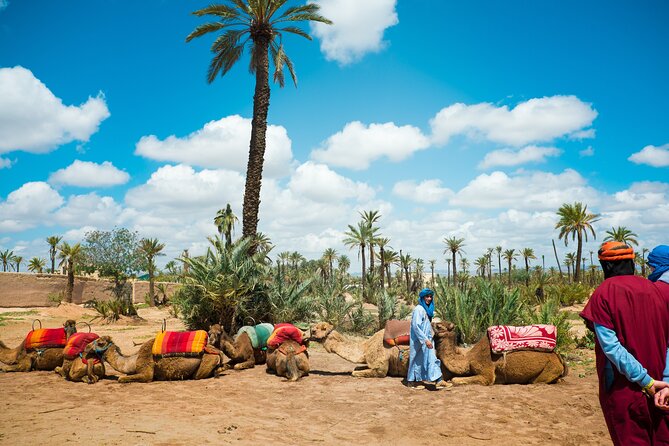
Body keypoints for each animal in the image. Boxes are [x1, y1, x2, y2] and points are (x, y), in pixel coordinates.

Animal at [87, 334, 224, 384]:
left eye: (100, 342)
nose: (87, 347)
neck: (133, 360)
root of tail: (217, 351)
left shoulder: (146, 371)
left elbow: (121, 378)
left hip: (207, 360)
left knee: (198, 375)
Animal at [430, 320, 568, 386]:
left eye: (440, 326)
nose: (431, 322)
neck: (468, 359)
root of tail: (558, 357)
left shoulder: (486, 373)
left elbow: (454, 379)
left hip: (550, 368)